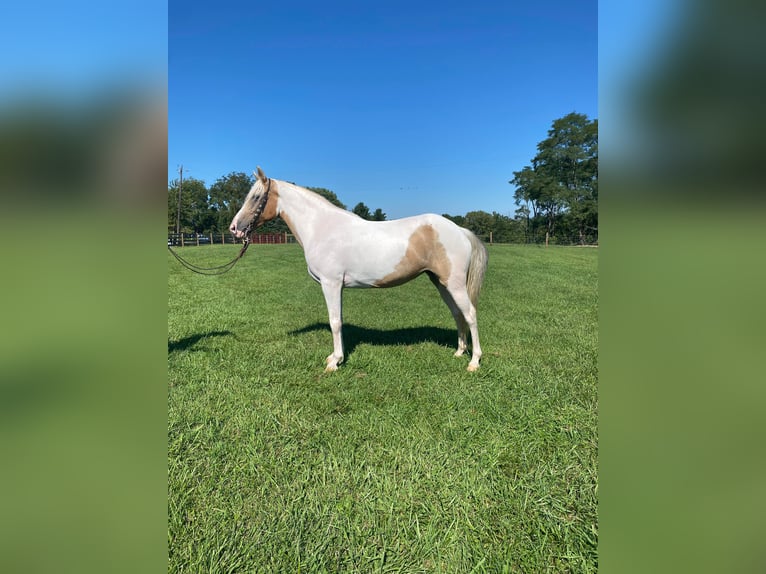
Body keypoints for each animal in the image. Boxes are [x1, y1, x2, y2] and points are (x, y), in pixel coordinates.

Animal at [231, 166, 488, 374]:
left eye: (255, 197)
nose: (234, 228)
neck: (321, 227)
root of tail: (460, 230)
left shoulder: (331, 283)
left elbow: (335, 321)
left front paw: (334, 362)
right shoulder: (337, 286)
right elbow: (339, 320)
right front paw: (336, 357)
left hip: (454, 284)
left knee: (470, 314)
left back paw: (474, 362)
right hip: (441, 282)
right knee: (457, 313)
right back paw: (459, 352)